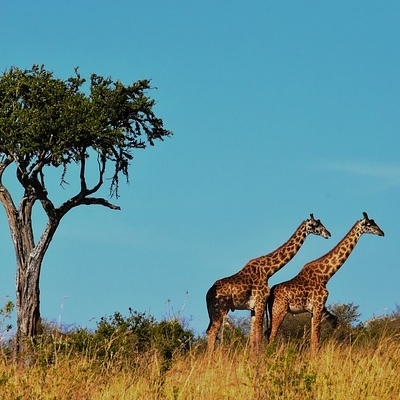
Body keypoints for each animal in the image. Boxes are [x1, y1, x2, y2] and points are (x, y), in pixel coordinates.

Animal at [205, 212, 330, 354]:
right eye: (315, 224)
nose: (328, 234)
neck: (268, 270)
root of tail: (207, 295)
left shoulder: (253, 307)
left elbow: (253, 336)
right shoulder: (260, 302)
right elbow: (259, 334)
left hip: (213, 312)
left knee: (209, 331)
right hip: (220, 310)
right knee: (213, 332)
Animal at [266, 211, 384, 352]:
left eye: (375, 222)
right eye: (369, 224)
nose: (382, 232)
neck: (325, 275)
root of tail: (270, 295)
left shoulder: (317, 309)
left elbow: (319, 334)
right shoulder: (318, 305)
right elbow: (316, 340)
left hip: (273, 312)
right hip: (279, 310)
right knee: (272, 335)